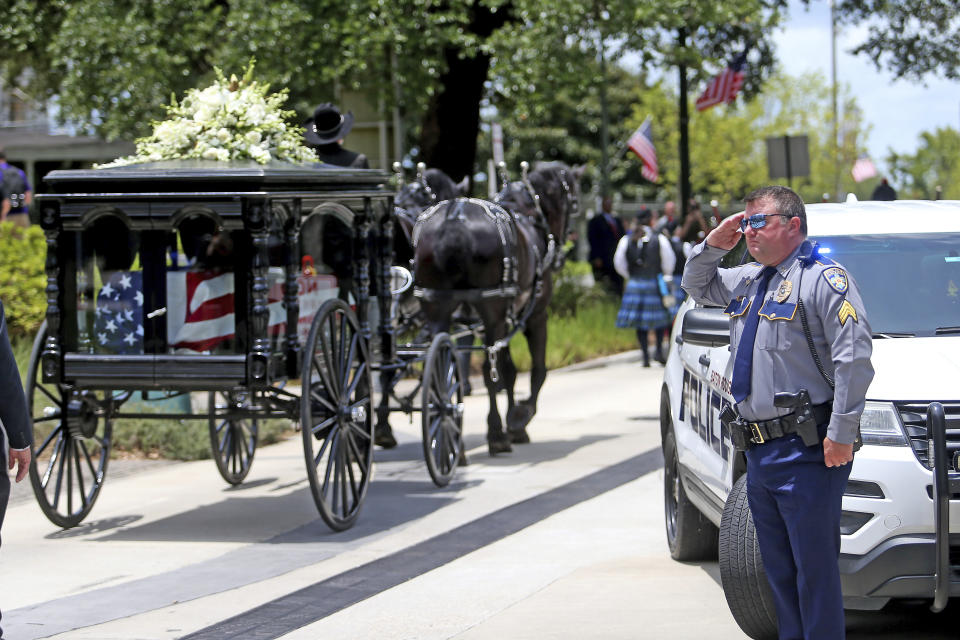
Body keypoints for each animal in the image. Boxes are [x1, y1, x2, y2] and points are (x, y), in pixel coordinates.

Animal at [410, 164, 576, 456]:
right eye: (573, 203)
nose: (560, 255)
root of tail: (455, 218)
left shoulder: (504, 319)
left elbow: (508, 371)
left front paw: (515, 425)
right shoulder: (534, 316)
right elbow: (536, 370)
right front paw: (519, 418)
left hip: (438, 309)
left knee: (443, 363)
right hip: (490, 312)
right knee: (488, 371)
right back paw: (496, 433)